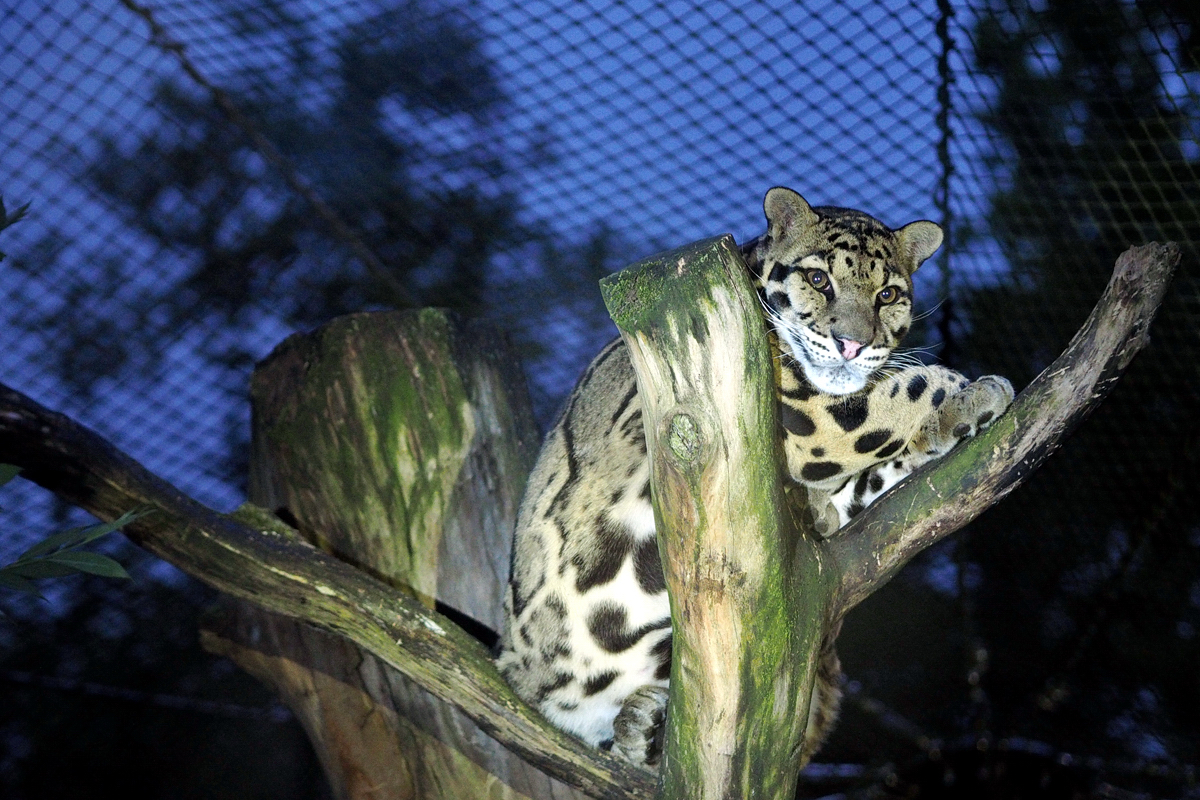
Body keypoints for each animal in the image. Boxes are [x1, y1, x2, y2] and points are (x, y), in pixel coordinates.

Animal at [496, 189, 1012, 767]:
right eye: (818, 279)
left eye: (888, 294)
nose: (853, 345)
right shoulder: (795, 414)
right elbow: (893, 398)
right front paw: (970, 390)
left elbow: (865, 483)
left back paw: (643, 727)